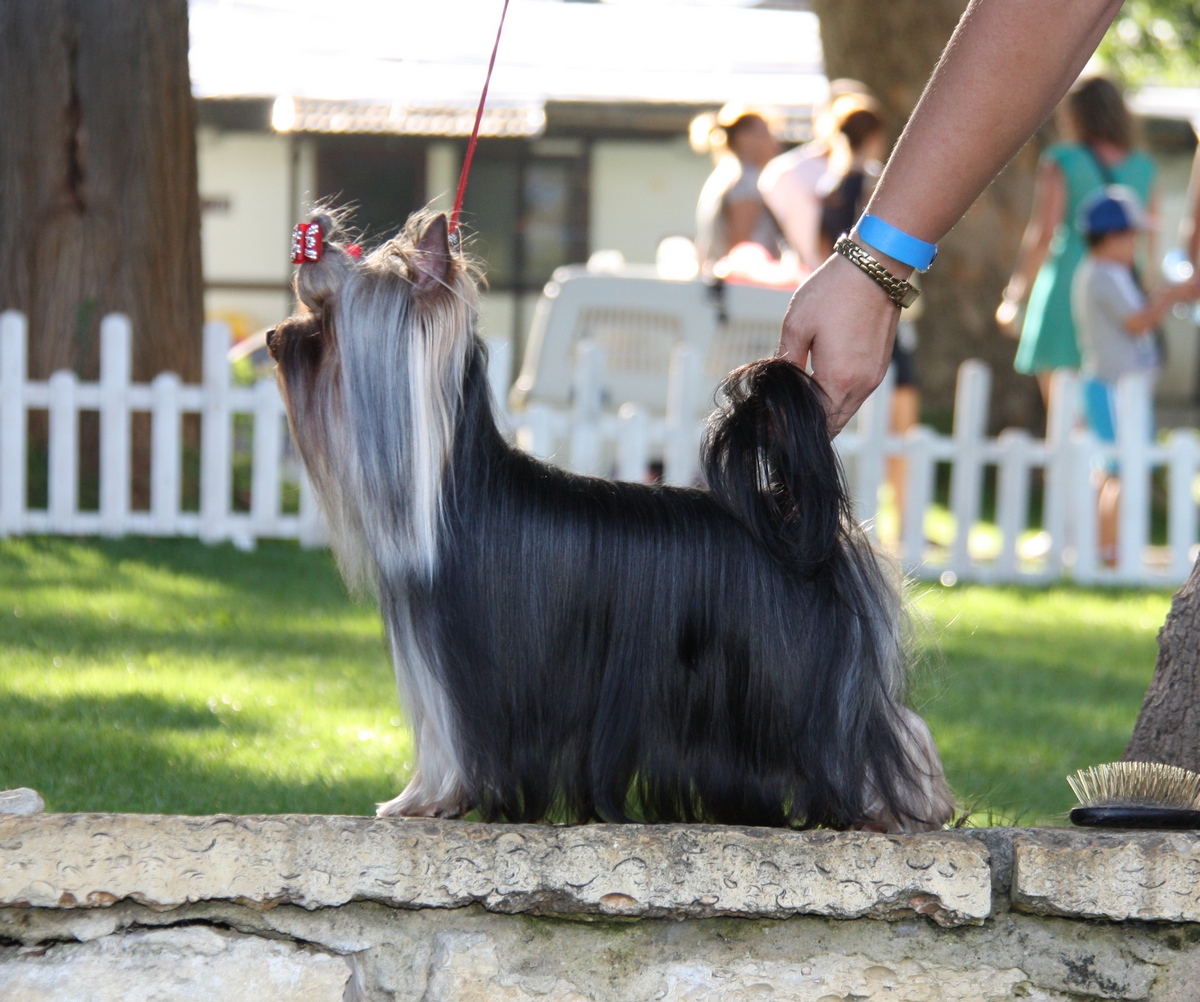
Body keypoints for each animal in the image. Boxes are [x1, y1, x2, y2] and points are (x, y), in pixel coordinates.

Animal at [272, 210, 955, 830]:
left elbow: (450, 744)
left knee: (872, 732)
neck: (451, 489)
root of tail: (795, 526)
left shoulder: (458, 675)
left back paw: (903, 806)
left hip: (794, 681)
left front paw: (426, 800)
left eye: (325, 322)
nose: (277, 337)